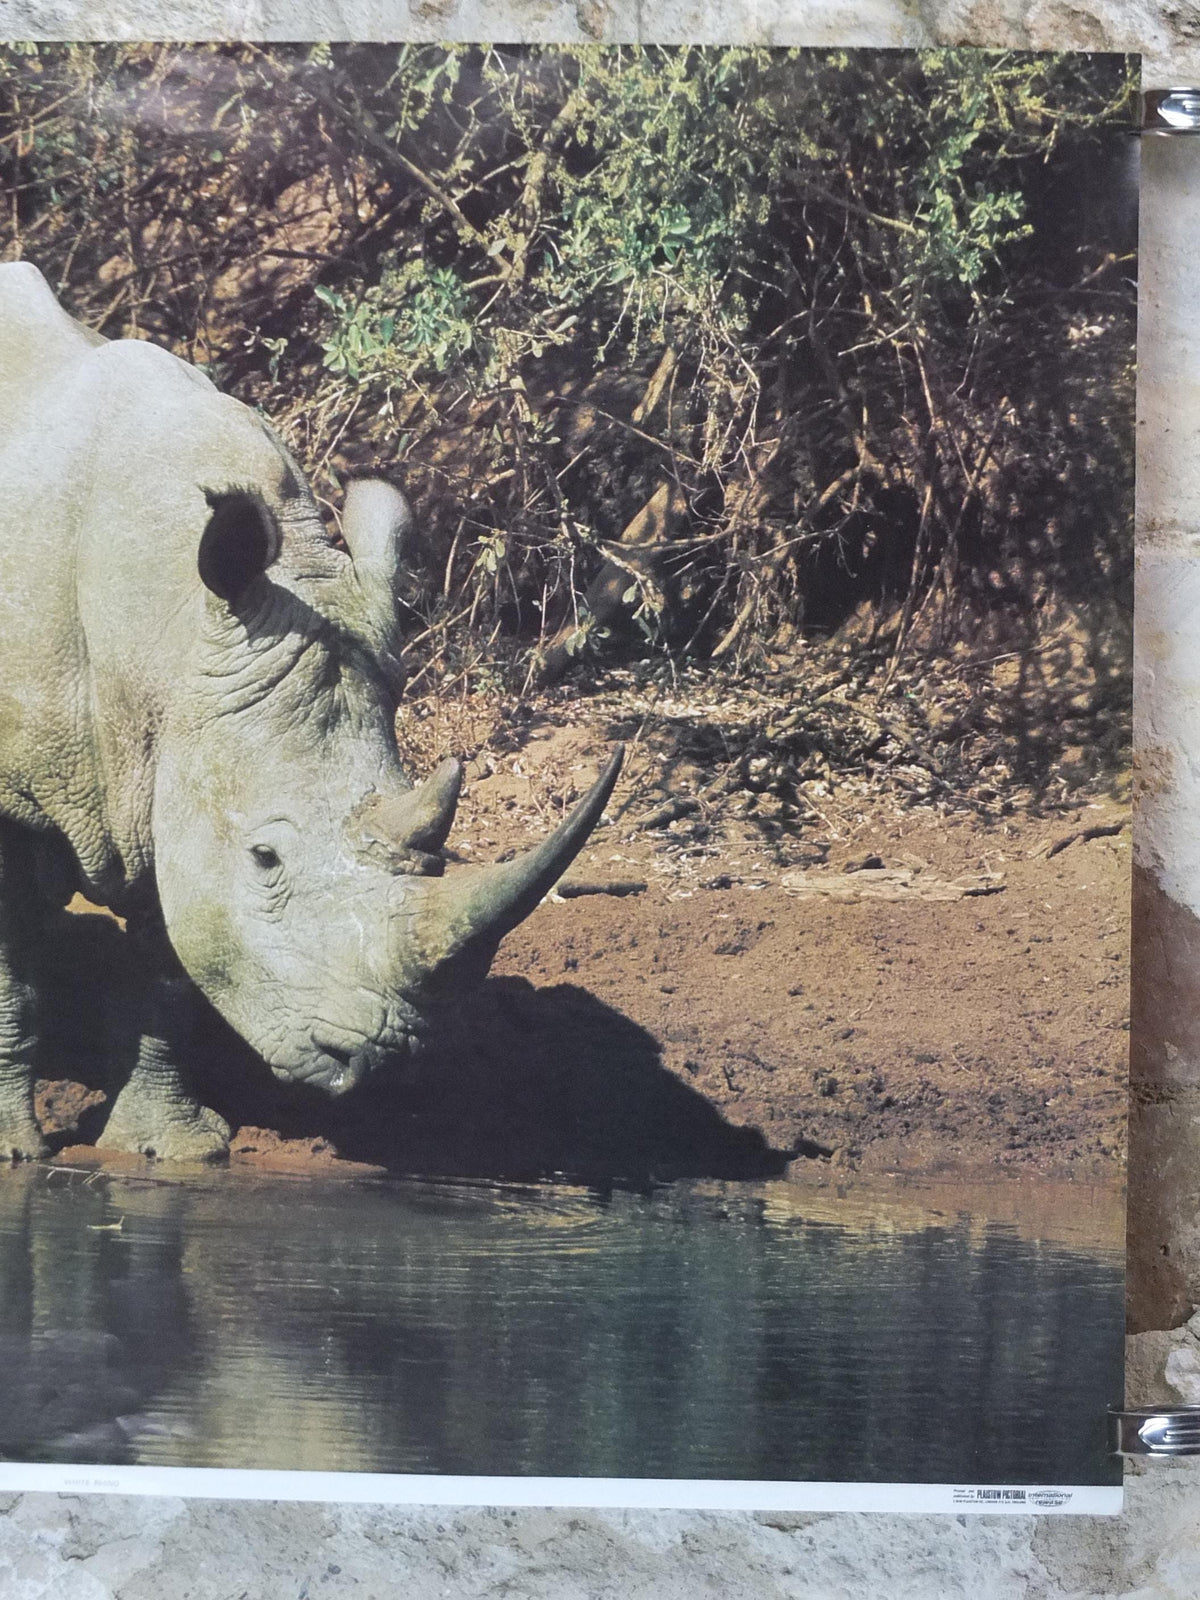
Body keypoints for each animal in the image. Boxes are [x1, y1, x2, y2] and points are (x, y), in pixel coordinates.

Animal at [0, 262, 621, 1162]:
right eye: (266, 859)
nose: (383, 1058)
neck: (168, 632)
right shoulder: (22, 788)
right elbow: (14, 975)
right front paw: (17, 1152)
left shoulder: (177, 761)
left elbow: (169, 966)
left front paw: (174, 1149)